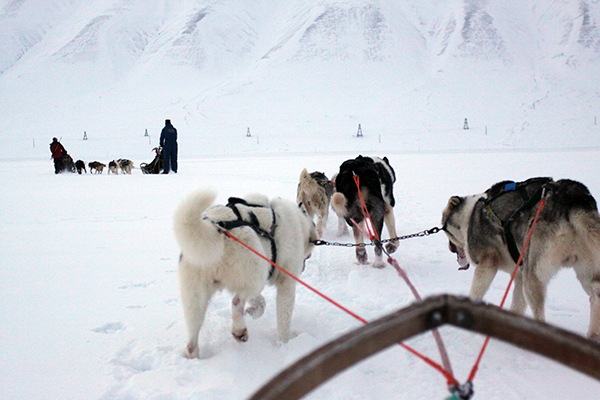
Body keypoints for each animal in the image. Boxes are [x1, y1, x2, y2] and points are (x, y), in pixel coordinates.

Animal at [172, 189, 318, 358]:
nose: (303, 267)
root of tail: (214, 227)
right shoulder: (286, 285)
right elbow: (283, 321)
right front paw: (284, 344)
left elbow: (260, 302)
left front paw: (253, 312)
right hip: (257, 274)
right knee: (236, 301)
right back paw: (239, 330)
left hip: (195, 297)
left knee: (192, 340)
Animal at [440, 177, 600, 340]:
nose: (450, 247)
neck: (470, 214)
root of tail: (573, 199)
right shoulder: (518, 273)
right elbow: (517, 304)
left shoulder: (488, 262)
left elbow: (476, 291)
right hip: (586, 270)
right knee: (595, 296)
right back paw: (592, 336)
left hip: (533, 273)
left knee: (539, 311)